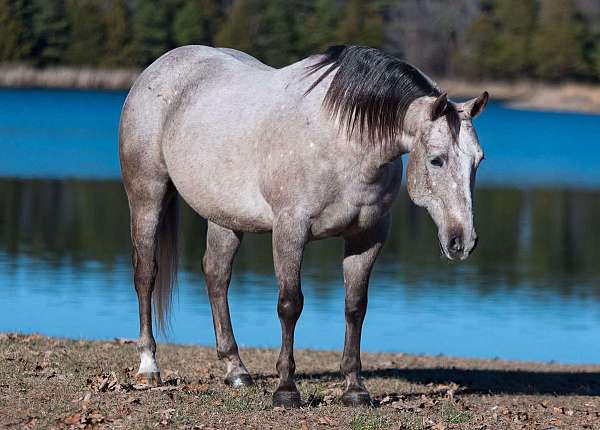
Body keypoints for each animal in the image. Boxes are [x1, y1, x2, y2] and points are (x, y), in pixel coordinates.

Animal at [117, 45, 488, 408]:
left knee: (216, 276)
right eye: (436, 160)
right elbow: (289, 304)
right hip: (148, 195)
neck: (342, 140)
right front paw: (286, 390)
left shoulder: (367, 236)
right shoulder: (290, 230)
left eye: (478, 160)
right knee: (146, 274)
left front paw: (355, 390)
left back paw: (236, 369)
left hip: (224, 216)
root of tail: (158, 67)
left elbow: (355, 307)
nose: (462, 242)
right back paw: (149, 366)